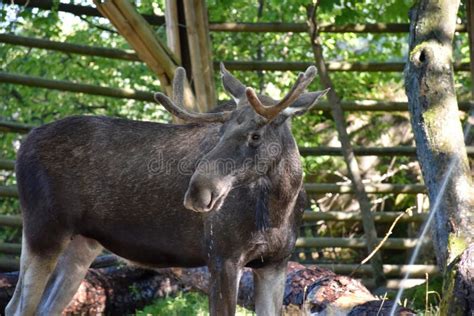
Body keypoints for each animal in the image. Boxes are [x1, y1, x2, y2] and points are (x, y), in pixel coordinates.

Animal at [5, 65, 328, 316]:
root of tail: (21, 145)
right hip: (43, 230)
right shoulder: (222, 257)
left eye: (256, 135)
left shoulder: (275, 263)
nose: (198, 191)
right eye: (220, 132)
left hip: (82, 243)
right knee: (17, 306)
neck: (280, 209)